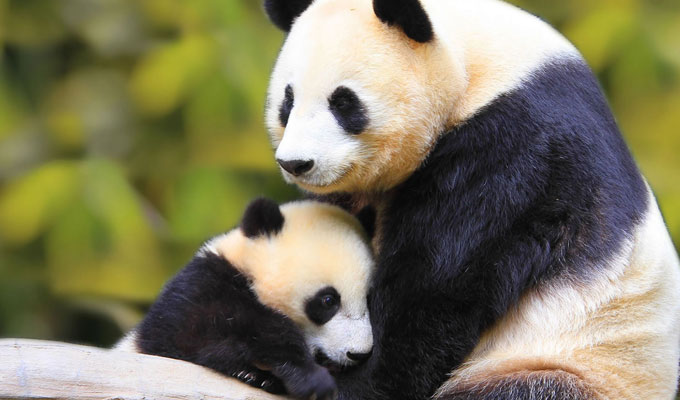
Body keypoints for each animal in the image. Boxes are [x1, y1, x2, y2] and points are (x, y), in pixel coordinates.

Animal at [262, 0, 680, 400]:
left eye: (344, 103)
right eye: (288, 101)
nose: (296, 163)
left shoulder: (513, 149)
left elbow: (436, 288)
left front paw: (343, 382)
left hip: (568, 366)